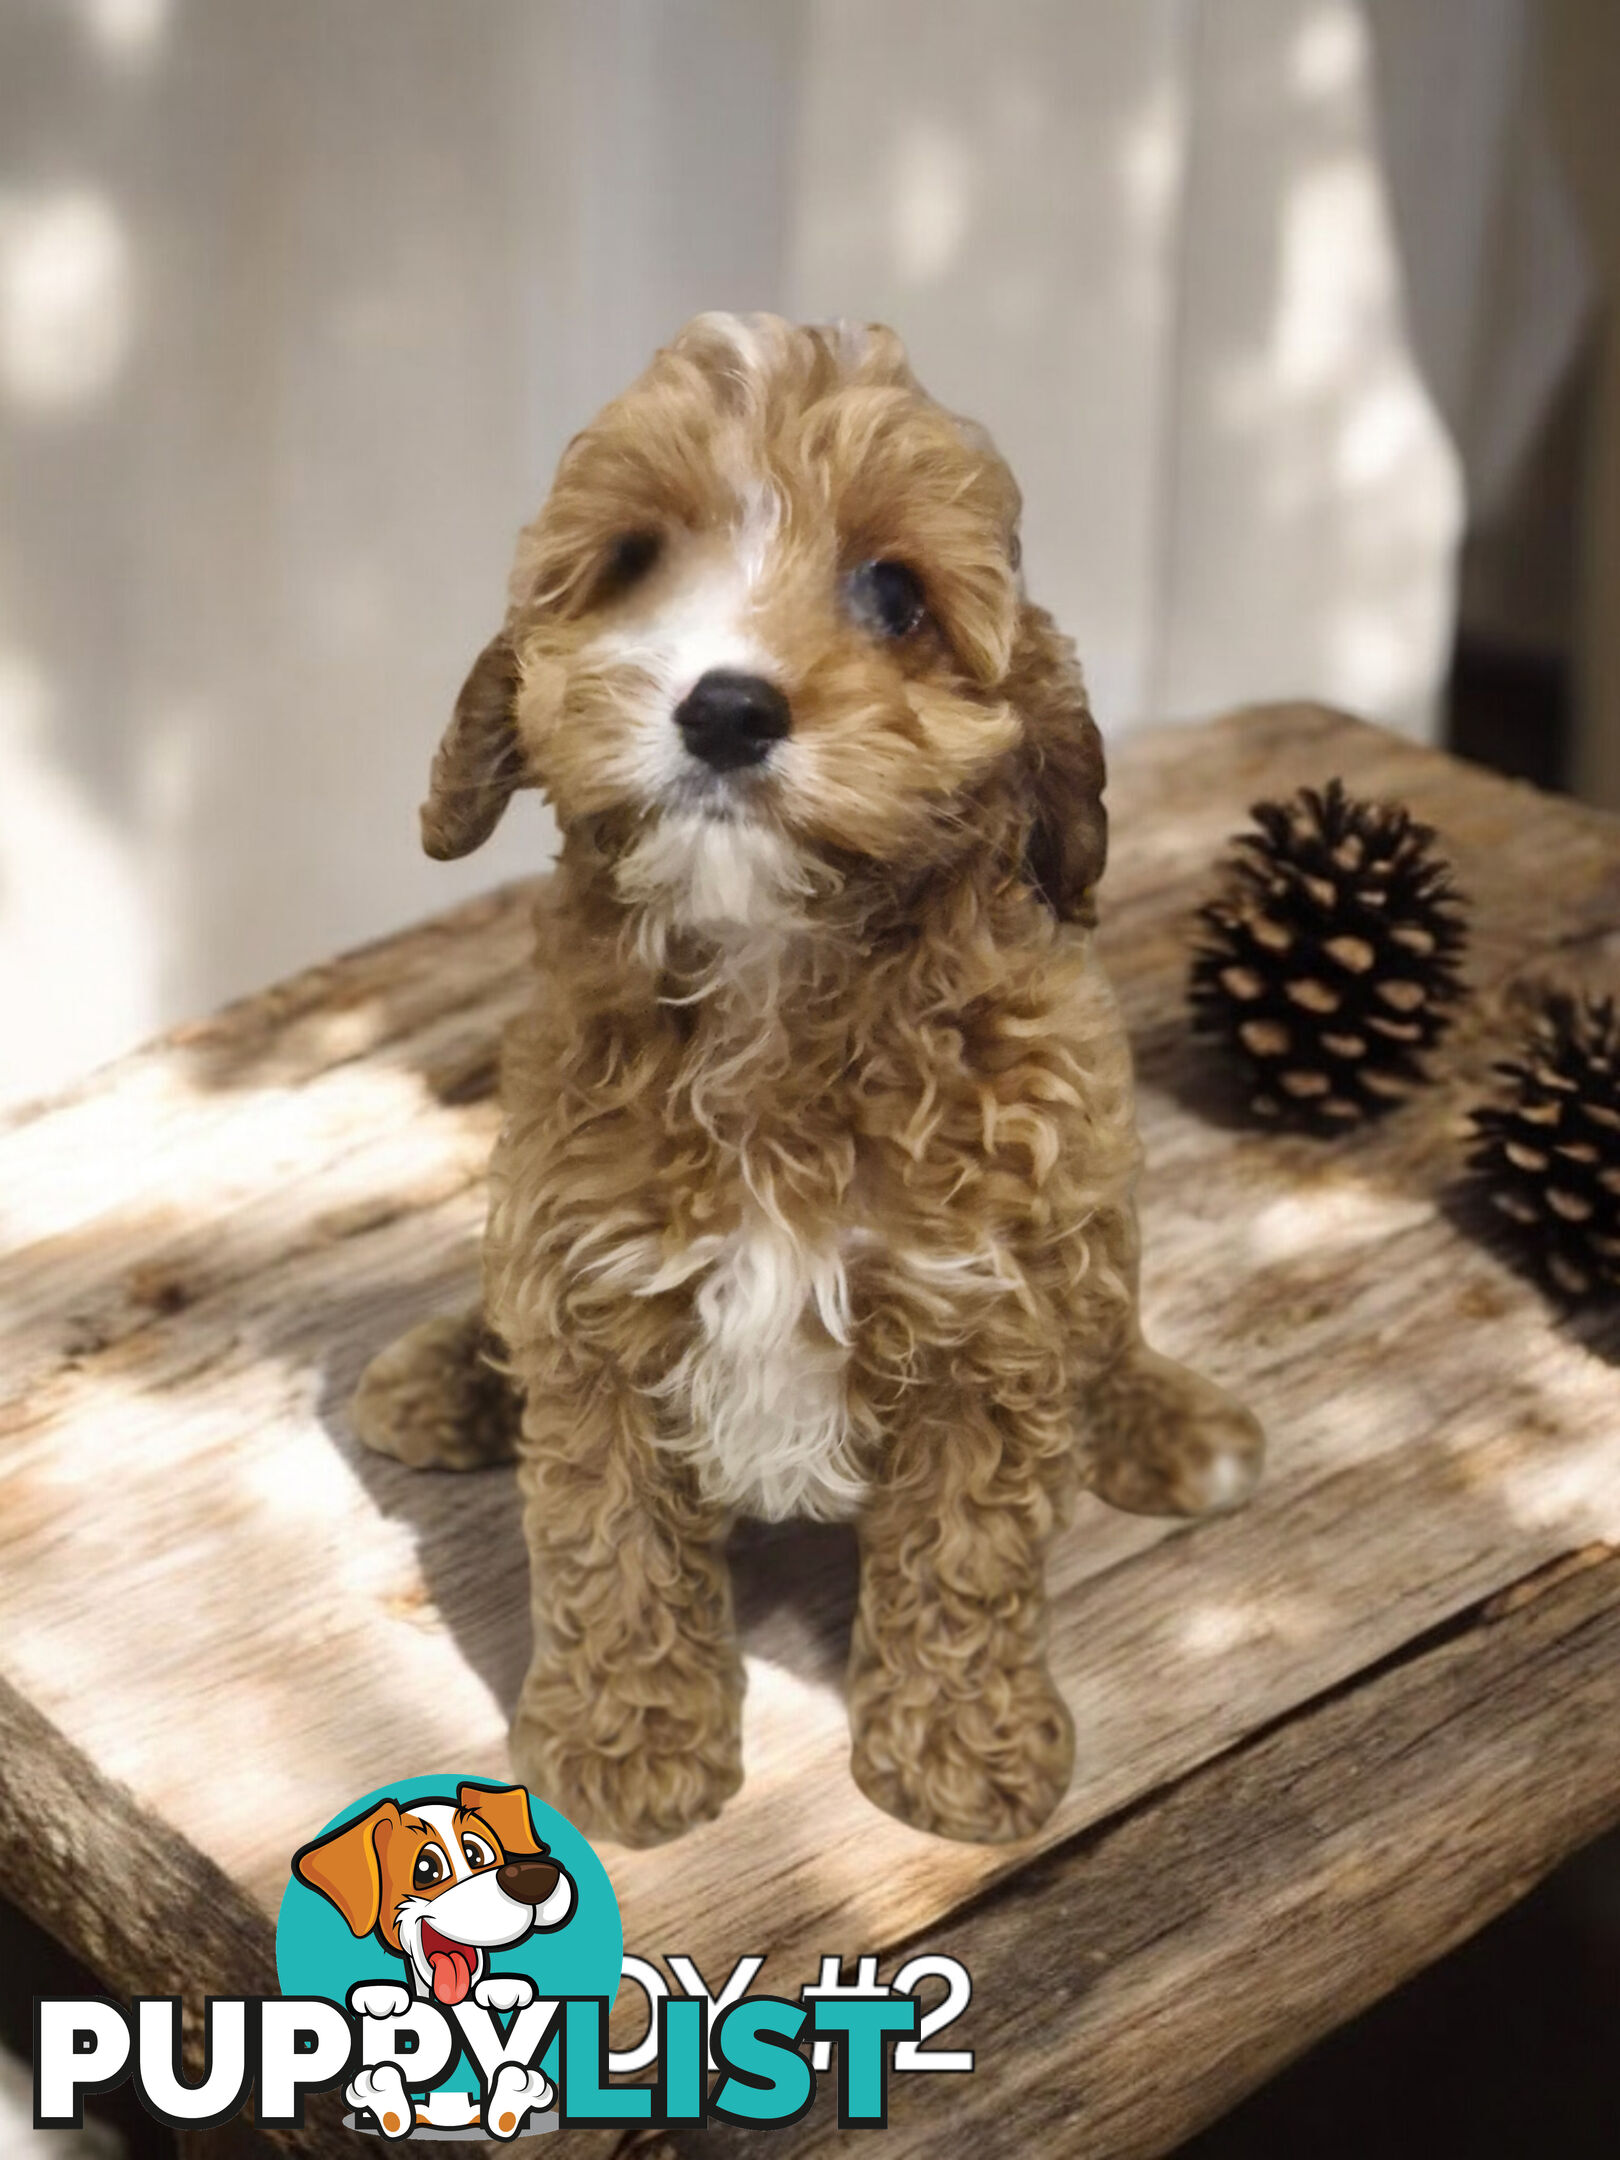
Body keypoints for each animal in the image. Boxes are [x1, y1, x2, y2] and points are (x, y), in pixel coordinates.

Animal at [358, 313, 1270, 1848]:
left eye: (894, 595)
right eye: (632, 561)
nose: (727, 709)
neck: (772, 976)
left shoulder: (992, 1314)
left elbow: (968, 1557)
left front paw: (958, 1753)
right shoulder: (592, 1283)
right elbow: (606, 1539)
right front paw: (624, 1753)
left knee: (1112, 1319)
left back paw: (1169, 1421)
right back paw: (448, 1376)